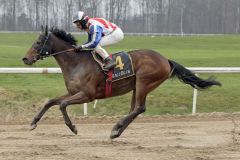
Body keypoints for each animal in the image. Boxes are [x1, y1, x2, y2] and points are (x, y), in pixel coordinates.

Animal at [22, 26, 221, 139]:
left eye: (38, 41)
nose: (25, 58)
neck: (77, 62)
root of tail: (166, 60)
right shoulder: (73, 92)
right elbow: (50, 102)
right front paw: (33, 123)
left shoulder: (87, 95)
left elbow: (62, 105)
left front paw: (73, 128)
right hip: (137, 86)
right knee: (135, 109)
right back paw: (117, 131)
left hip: (144, 82)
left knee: (140, 108)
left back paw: (116, 128)